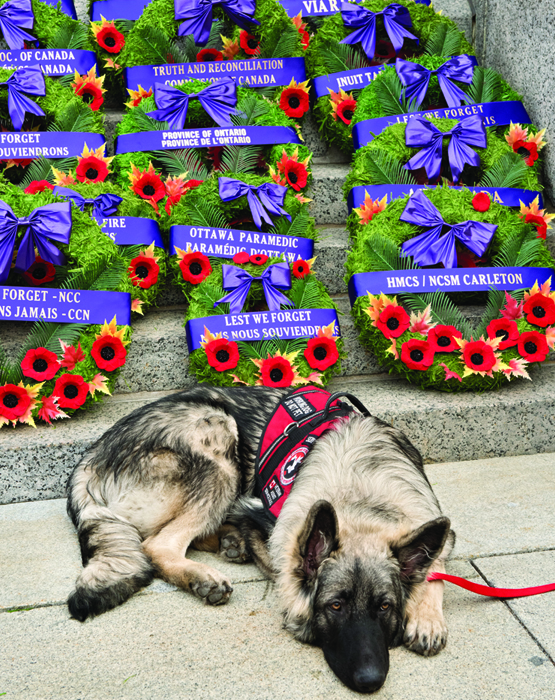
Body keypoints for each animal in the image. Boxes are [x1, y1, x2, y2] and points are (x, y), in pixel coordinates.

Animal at [67, 386, 454, 692]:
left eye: (384, 607)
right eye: (335, 607)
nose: (371, 680)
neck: (361, 493)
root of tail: (90, 457)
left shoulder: (437, 529)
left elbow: (436, 570)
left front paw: (426, 618)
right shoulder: (270, 526)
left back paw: (229, 543)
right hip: (218, 442)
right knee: (157, 543)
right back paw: (204, 574)